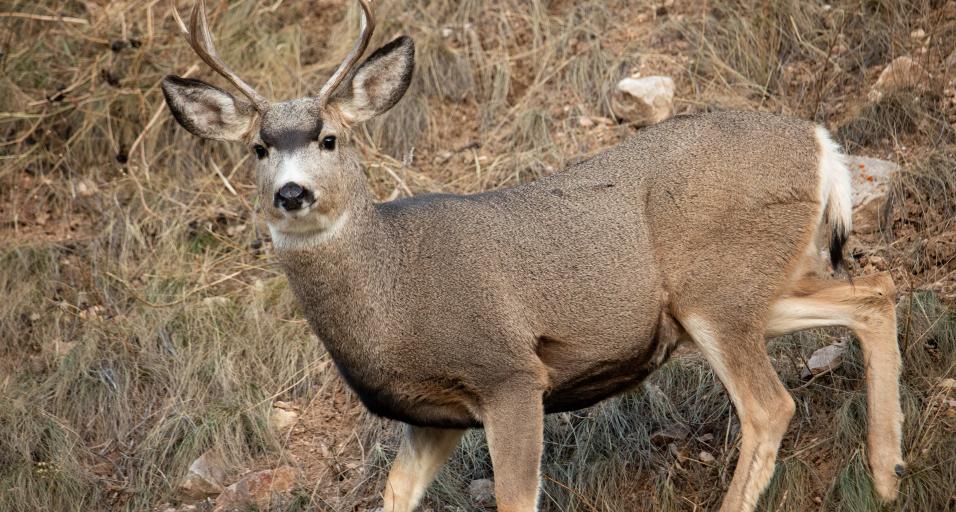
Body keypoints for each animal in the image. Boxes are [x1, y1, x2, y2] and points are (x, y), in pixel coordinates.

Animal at [160, 1, 905, 510]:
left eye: (330, 138)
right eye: (259, 147)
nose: (291, 192)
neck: (393, 288)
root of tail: (820, 143)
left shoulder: (509, 372)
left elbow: (516, 497)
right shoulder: (433, 416)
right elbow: (394, 495)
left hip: (717, 291)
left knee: (770, 406)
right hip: (754, 287)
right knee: (875, 293)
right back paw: (887, 476)